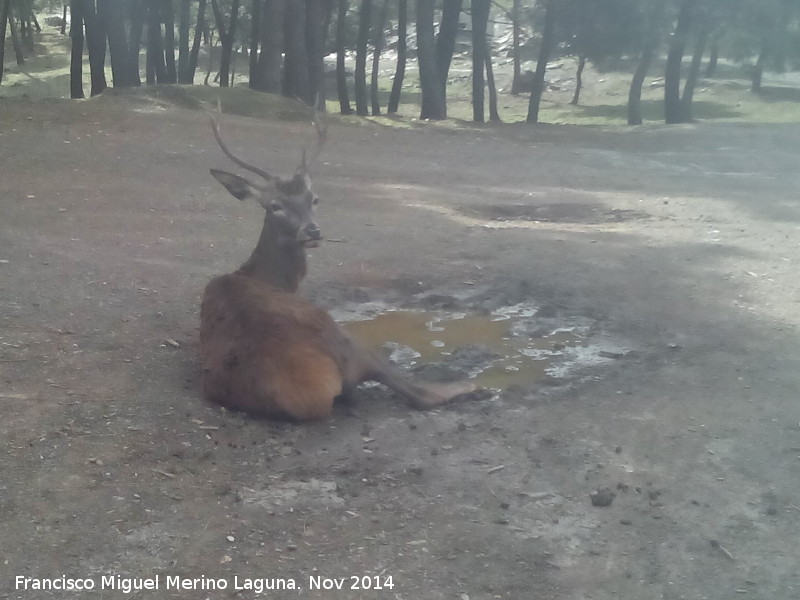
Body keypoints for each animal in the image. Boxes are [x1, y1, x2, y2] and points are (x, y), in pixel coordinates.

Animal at [200, 105, 476, 420]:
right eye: (275, 205)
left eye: (314, 199)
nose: (312, 231)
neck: (268, 277)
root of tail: (312, 390)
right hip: (346, 340)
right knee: (422, 395)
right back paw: (471, 384)